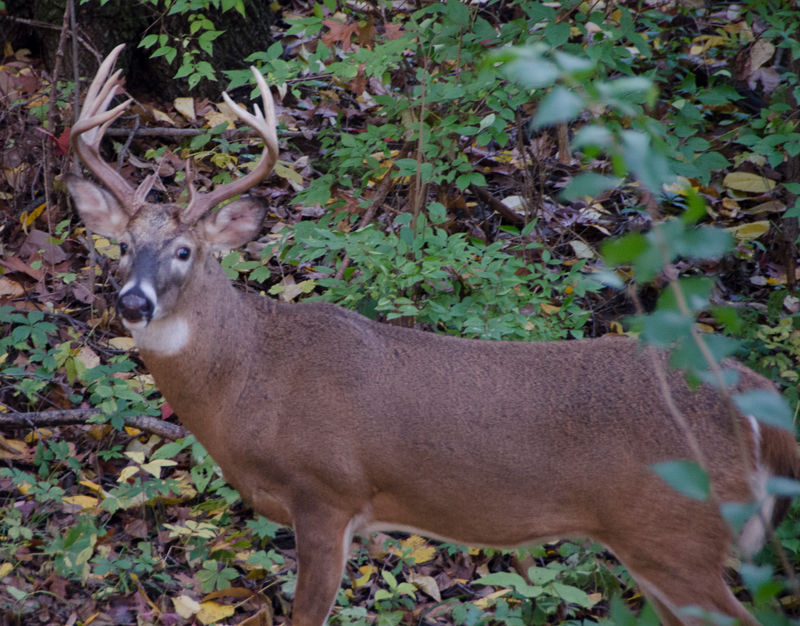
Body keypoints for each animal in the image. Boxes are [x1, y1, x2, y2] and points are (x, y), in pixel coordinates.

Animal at [65, 45, 796, 624]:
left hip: (678, 534)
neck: (248, 380)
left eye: (185, 251)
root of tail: (764, 411)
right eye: (123, 246)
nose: (133, 301)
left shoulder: (327, 494)